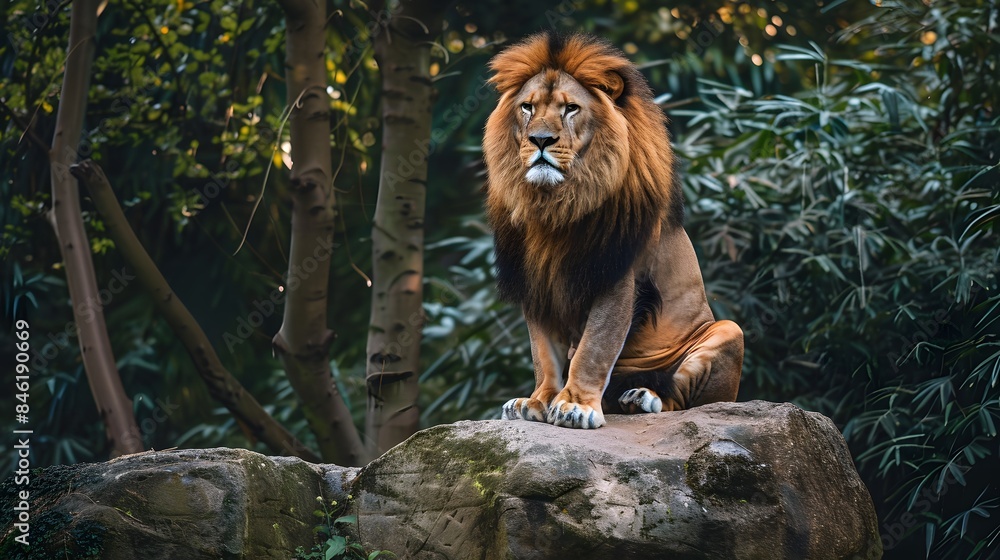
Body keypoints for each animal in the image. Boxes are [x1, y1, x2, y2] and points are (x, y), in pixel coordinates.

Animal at [483, 32, 744, 429]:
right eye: (527, 107)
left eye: (570, 109)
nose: (540, 139)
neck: (554, 206)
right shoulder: (535, 282)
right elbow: (543, 353)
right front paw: (538, 400)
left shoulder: (616, 277)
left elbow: (595, 347)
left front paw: (575, 406)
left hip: (728, 332)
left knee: (680, 399)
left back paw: (642, 397)